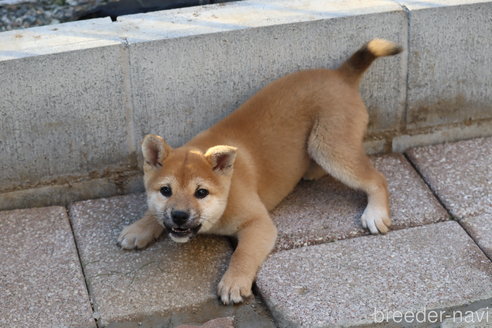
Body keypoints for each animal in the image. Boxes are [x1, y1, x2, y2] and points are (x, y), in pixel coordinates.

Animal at [117, 39, 402, 304]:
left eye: (201, 192)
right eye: (166, 190)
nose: (178, 216)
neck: (227, 191)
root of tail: (341, 74)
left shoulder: (258, 223)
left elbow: (242, 255)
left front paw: (234, 282)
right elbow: (153, 212)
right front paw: (139, 228)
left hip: (329, 146)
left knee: (377, 179)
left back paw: (375, 213)